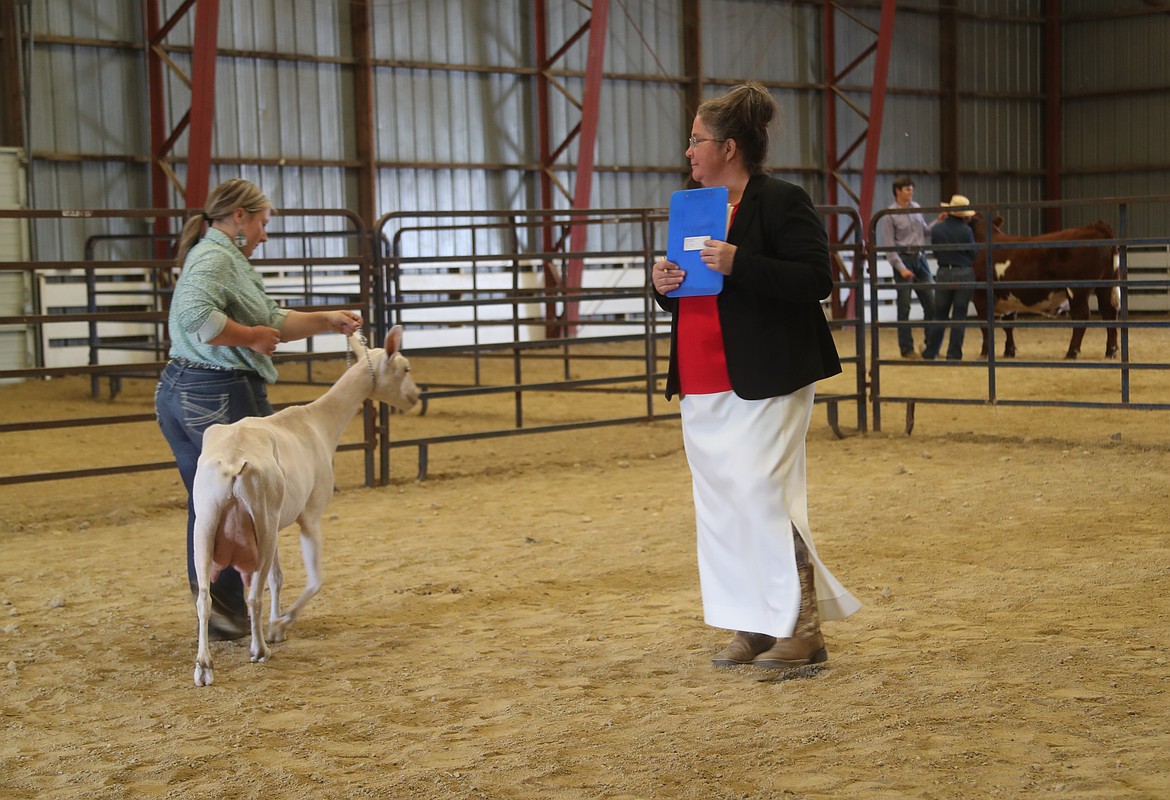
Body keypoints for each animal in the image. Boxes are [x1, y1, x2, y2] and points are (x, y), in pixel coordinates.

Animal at [187, 327, 416, 683]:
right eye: (405, 368)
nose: (416, 397)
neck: (318, 422)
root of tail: (234, 461)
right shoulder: (310, 516)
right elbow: (315, 580)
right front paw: (281, 624)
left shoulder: (280, 522)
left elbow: (278, 578)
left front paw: (276, 624)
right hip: (262, 523)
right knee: (252, 595)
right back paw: (259, 650)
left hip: (210, 523)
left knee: (204, 599)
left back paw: (204, 667)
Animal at [964, 214, 1118, 360]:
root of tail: (1095, 227)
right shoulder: (1009, 297)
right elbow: (1009, 325)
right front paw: (1009, 351)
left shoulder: (981, 296)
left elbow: (985, 326)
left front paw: (985, 352)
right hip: (1106, 284)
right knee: (1109, 312)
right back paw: (1110, 351)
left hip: (1078, 289)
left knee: (1082, 316)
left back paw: (1071, 352)